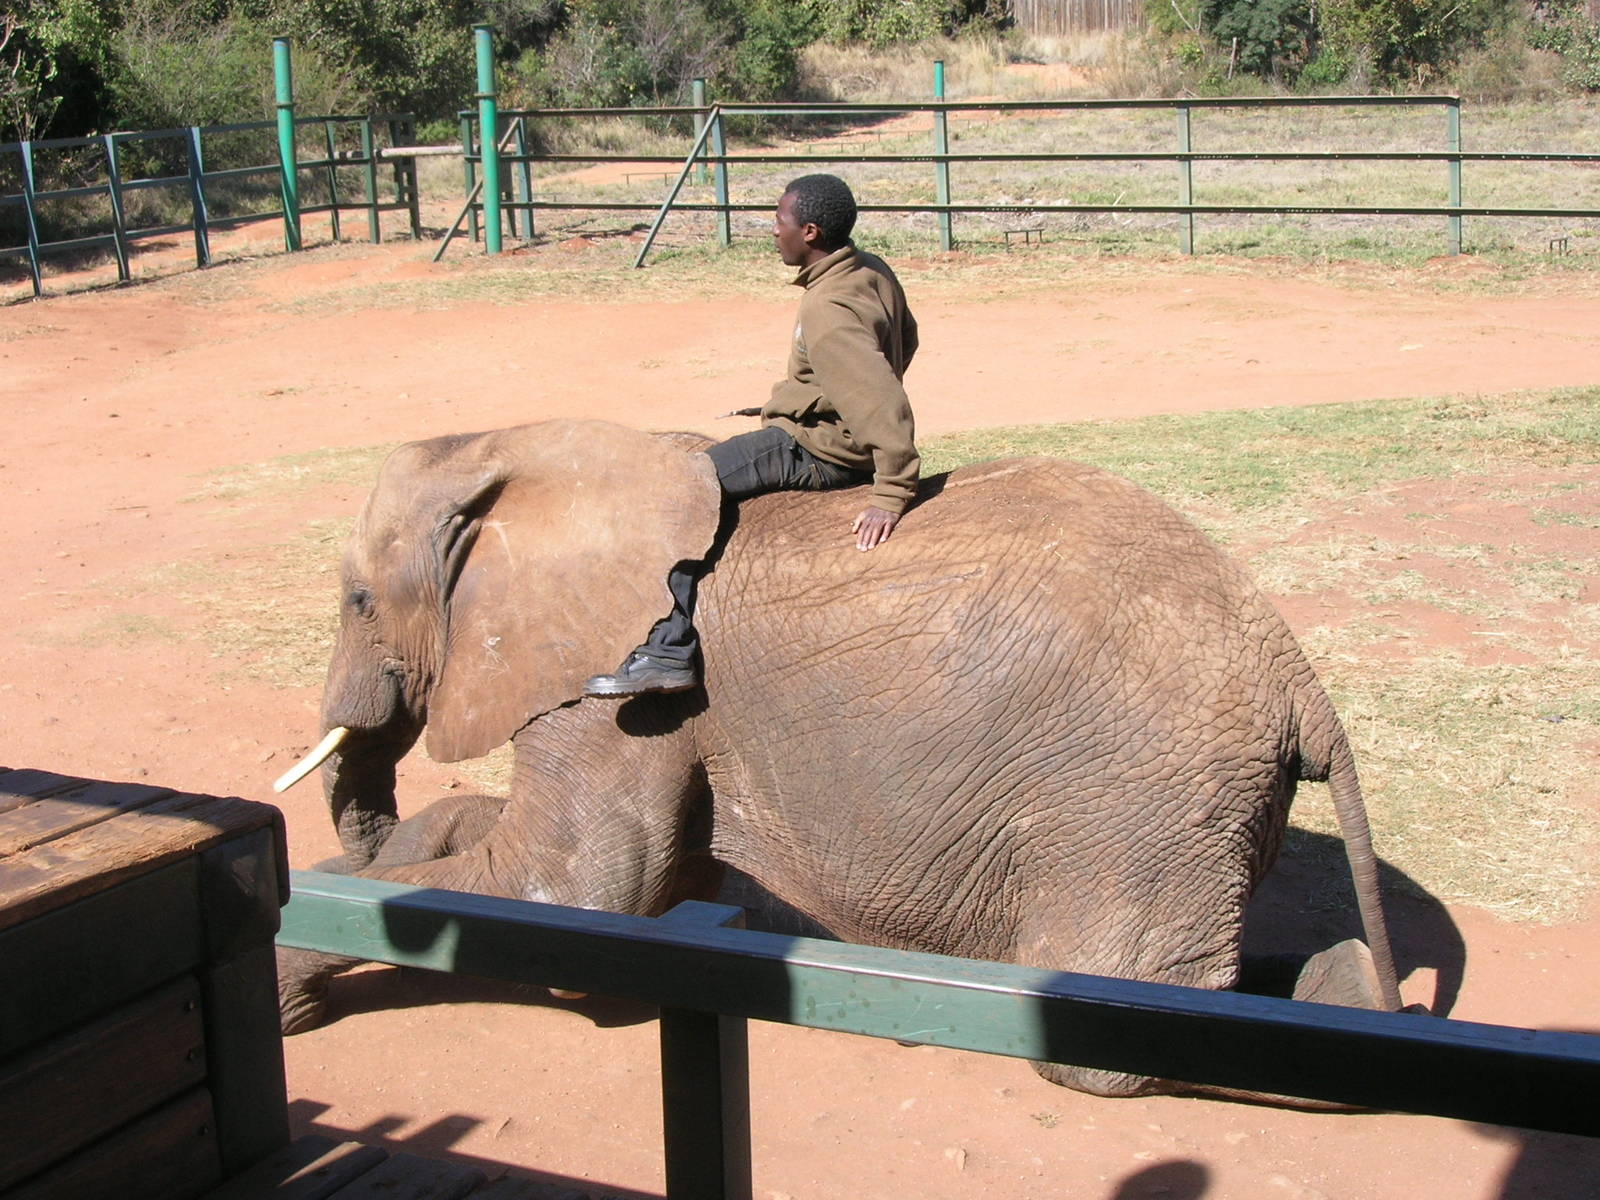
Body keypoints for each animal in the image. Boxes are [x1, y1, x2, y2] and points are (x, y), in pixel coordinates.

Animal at [275, 418, 1403, 1099]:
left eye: (359, 599)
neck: (539, 450)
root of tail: (1298, 675)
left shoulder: (619, 687)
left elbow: (581, 887)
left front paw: (287, 990)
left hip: (1138, 798)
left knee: (1107, 1026)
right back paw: (1345, 983)